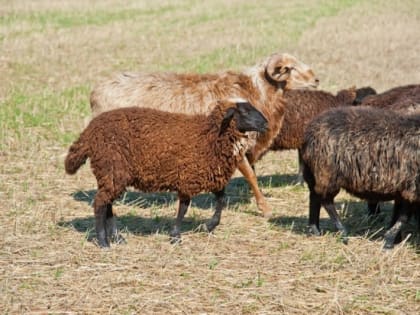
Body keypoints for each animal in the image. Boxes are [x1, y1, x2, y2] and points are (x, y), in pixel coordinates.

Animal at [65, 100, 270, 248]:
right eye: (244, 112)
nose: (266, 124)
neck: (210, 134)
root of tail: (89, 133)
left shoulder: (209, 175)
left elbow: (221, 199)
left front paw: (210, 225)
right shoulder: (188, 178)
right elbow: (184, 209)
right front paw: (176, 237)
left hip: (112, 175)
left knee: (107, 204)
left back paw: (117, 237)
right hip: (112, 168)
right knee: (100, 203)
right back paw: (103, 242)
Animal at [89, 53, 318, 218]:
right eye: (289, 68)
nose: (316, 79)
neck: (256, 92)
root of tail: (95, 93)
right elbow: (251, 176)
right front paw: (266, 209)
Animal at [300, 106, 420, 249]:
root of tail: (309, 131)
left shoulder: (404, 189)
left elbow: (399, 215)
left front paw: (395, 239)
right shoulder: (412, 188)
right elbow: (403, 217)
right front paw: (389, 242)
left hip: (315, 174)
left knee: (314, 197)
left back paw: (315, 230)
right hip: (327, 174)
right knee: (325, 201)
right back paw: (343, 233)